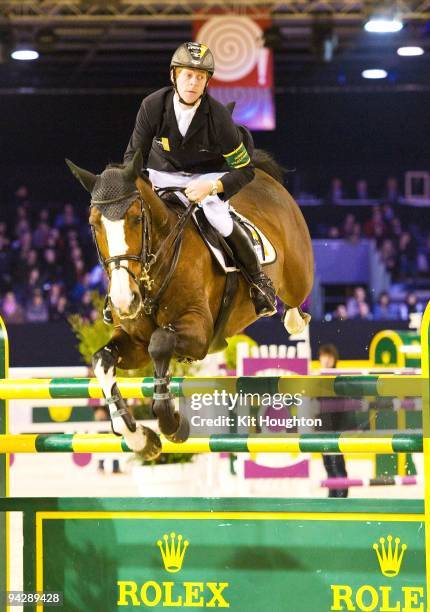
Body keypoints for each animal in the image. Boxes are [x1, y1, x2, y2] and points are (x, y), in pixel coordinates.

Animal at [66, 152, 312, 460]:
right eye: (94, 224)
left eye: (137, 218)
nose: (124, 301)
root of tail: (264, 178)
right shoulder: (135, 342)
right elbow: (103, 360)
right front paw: (139, 438)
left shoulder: (199, 332)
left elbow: (160, 343)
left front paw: (171, 422)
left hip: (298, 276)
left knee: (296, 300)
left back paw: (286, 313)